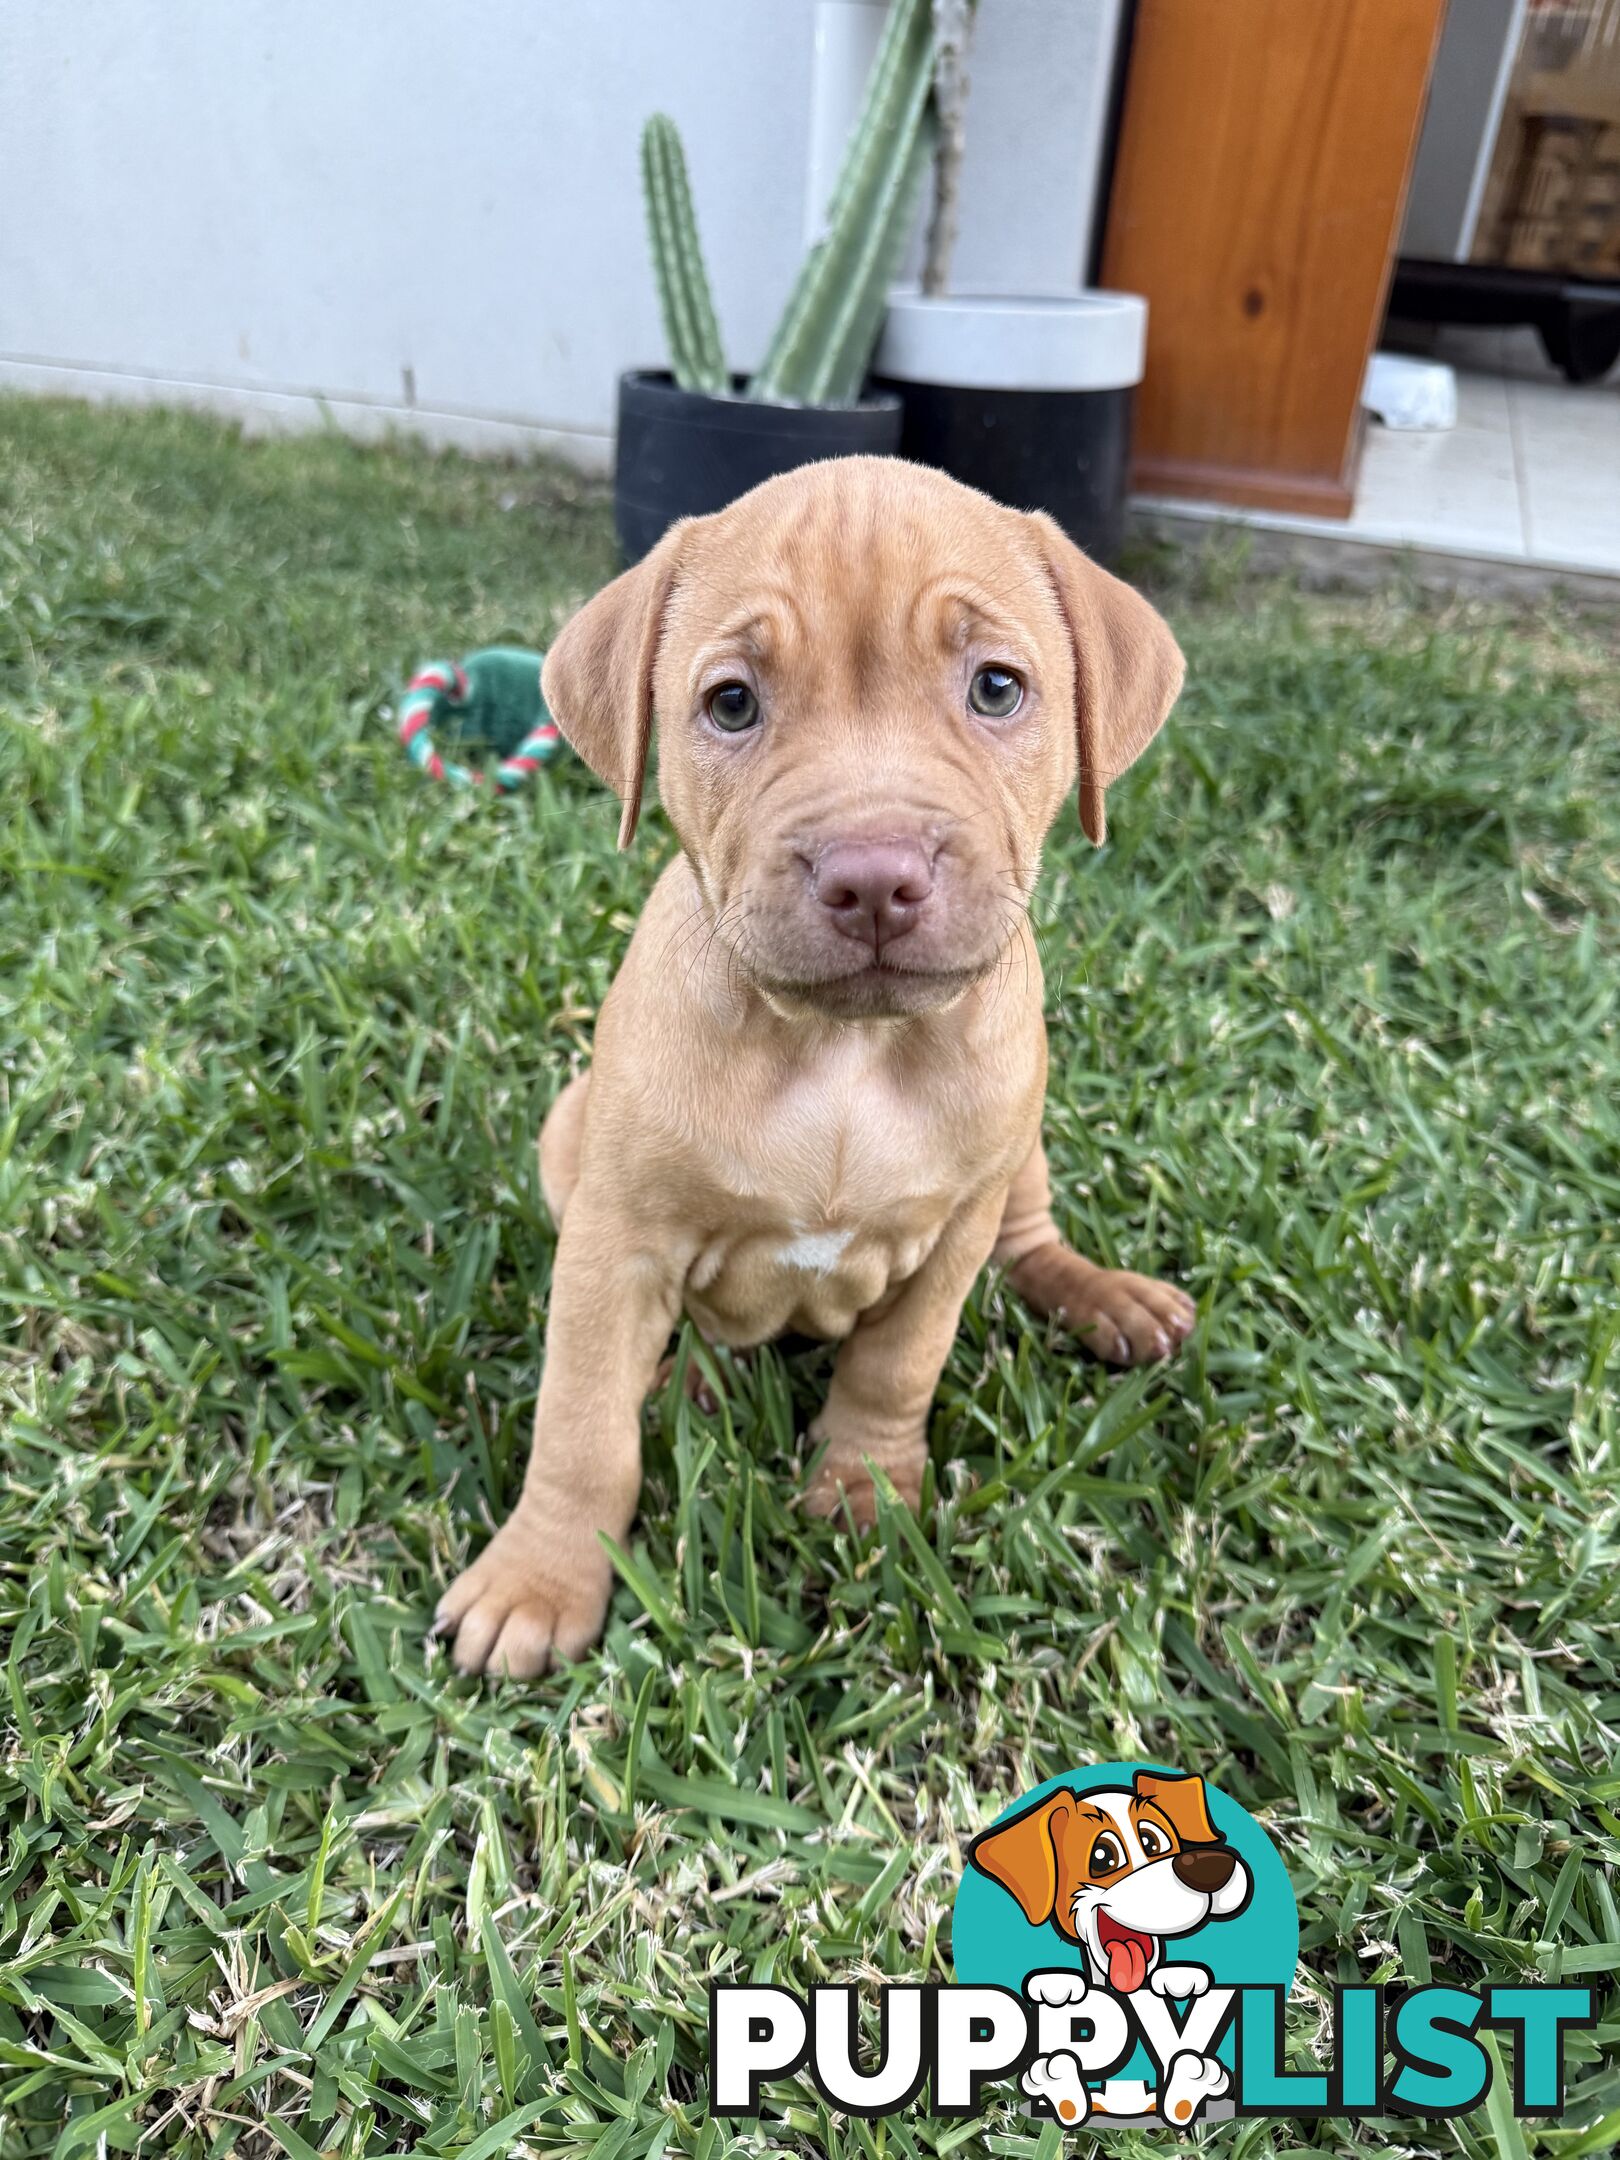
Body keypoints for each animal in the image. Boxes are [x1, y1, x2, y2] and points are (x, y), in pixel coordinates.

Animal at [438, 451, 1200, 1667]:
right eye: (732, 704)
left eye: (997, 689)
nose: (875, 875)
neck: (845, 1049)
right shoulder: (615, 1243)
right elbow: (582, 1423)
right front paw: (541, 1578)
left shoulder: (954, 1233)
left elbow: (898, 1363)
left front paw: (864, 1488)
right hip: (570, 1133)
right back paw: (691, 1381)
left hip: (1020, 1151)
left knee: (1032, 1240)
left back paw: (1105, 1299)